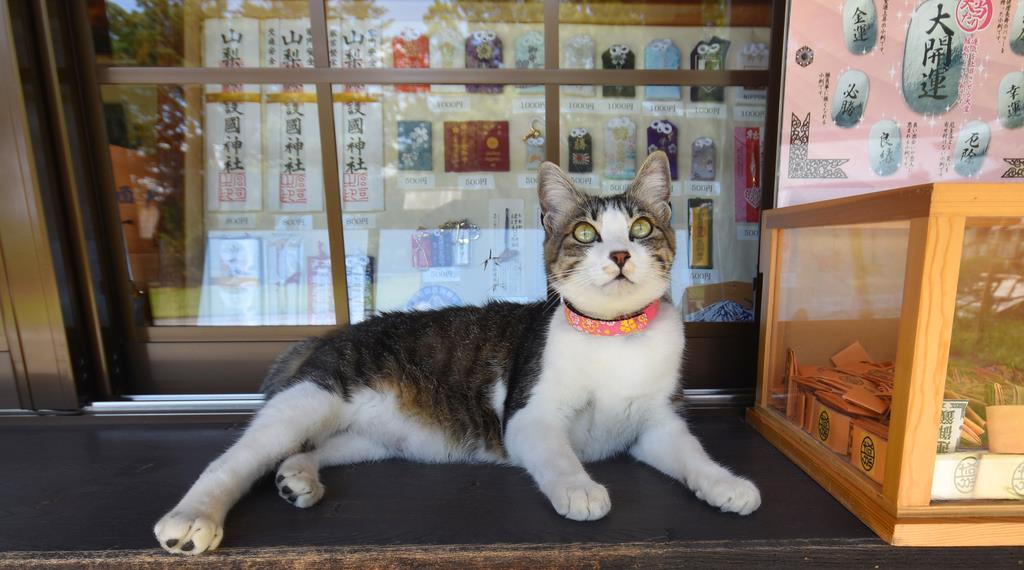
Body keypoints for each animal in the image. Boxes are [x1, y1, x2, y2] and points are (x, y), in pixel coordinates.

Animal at [153, 150, 761, 552]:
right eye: (586, 234)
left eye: (639, 227)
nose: (618, 255)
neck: (615, 336)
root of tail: (331, 336)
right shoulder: (529, 415)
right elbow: (558, 456)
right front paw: (581, 489)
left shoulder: (657, 423)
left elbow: (692, 455)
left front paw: (726, 484)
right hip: (310, 398)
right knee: (235, 459)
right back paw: (191, 518)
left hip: (371, 436)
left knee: (309, 448)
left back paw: (297, 476)